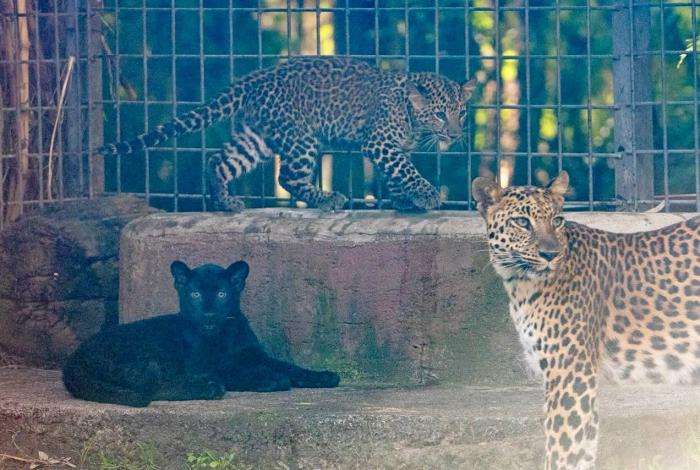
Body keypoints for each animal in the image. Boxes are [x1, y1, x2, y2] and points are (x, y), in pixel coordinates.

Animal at [62, 260, 340, 407]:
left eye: (222, 293)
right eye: (195, 294)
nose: (208, 314)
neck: (225, 336)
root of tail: (72, 364)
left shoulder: (254, 354)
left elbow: (289, 366)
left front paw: (323, 376)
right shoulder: (202, 364)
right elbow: (234, 371)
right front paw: (271, 379)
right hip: (144, 357)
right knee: (153, 388)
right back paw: (208, 387)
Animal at [99, 56, 475, 212]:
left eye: (461, 112)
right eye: (440, 113)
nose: (456, 134)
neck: (411, 115)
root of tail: (255, 78)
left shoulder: (393, 147)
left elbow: (399, 173)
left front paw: (405, 201)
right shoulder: (379, 142)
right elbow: (406, 170)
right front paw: (426, 195)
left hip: (257, 137)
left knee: (219, 160)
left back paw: (225, 202)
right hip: (301, 137)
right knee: (288, 177)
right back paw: (327, 199)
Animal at [472, 171, 700, 470]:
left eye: (557, 220)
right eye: (522, 222)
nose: (550, 255)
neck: (519, 284)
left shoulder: (571, 375)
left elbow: (560, 453)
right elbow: (582, 451)